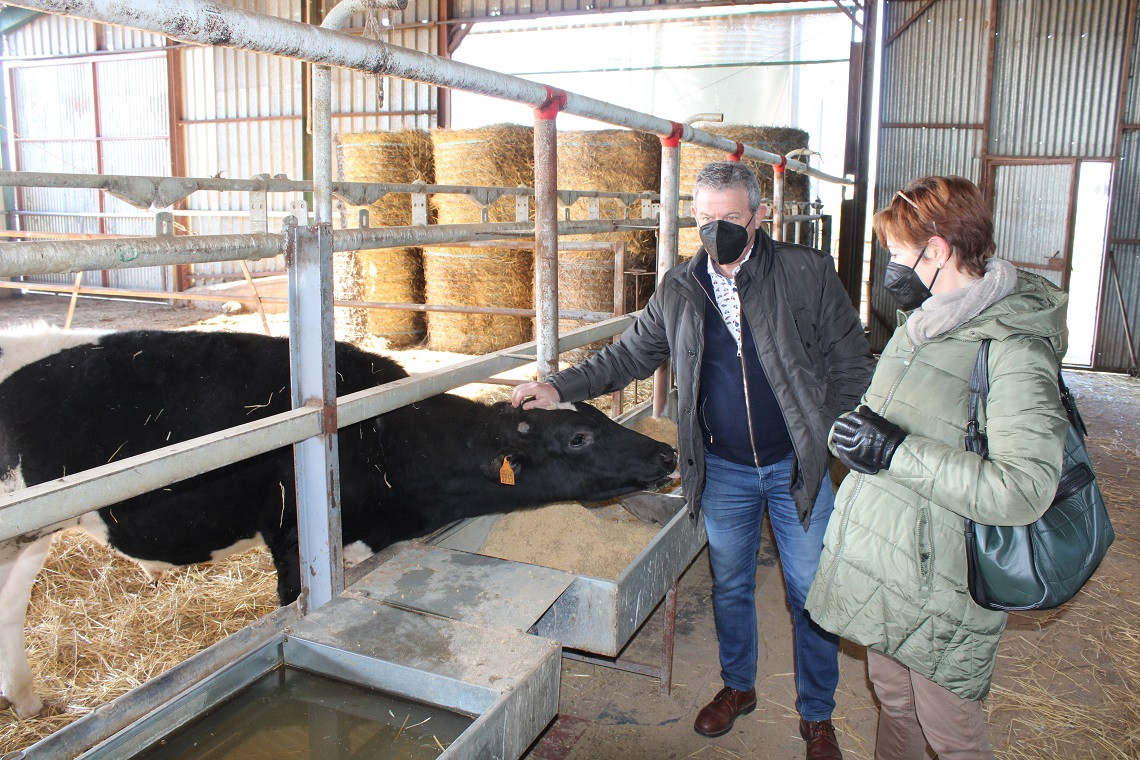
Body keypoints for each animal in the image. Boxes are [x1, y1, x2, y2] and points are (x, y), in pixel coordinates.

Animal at [0, 328, 674, 720]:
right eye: (579, 437)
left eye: (594, 416)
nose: (666, 454)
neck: (382, 439)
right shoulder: (293, 540)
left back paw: (29, 702)